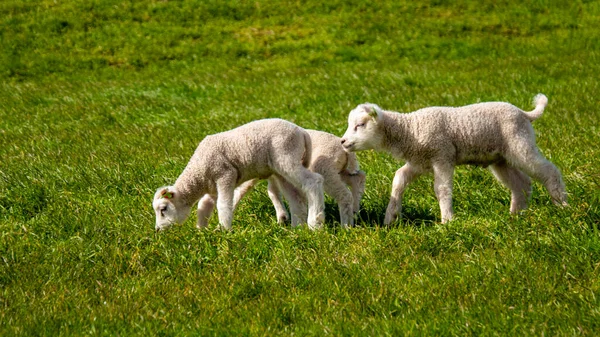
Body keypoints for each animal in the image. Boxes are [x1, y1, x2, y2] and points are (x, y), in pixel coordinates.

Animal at [152, 117, 326, 230]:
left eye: (163, 209)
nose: (157, 230)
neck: (199, 173)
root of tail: (301, 132)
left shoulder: (225, 175)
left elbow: (223, 205)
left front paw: (224, 230)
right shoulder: (212, 187)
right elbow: (204, 205)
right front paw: (202, 231)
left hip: (286, 156)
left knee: (313, 181)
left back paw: (315, 223)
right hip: (281, 169)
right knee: (295, 198)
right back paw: (297, 228)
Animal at [233, 129, 366, 226]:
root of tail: (346, 152)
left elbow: (242, 189)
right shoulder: (275, 175)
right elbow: (273, 191)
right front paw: (282, 217)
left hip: (324, 168)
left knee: (344, 194)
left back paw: (346, 225)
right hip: (338, 170)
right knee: (358, 178)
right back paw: (355, 210)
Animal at [342, 92, 568, 223]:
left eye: (360, 125)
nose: (343, 142)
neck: (411, 130)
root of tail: (524, 113)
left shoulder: (442, 156)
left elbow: (441, 189)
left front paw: (447, 220)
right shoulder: (419, 162)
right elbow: (398, 179)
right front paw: (390, 217)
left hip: (520, 143)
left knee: (549, 171)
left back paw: (562, 205)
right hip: (501, 158)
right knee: (521, 183)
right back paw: (515, 215)